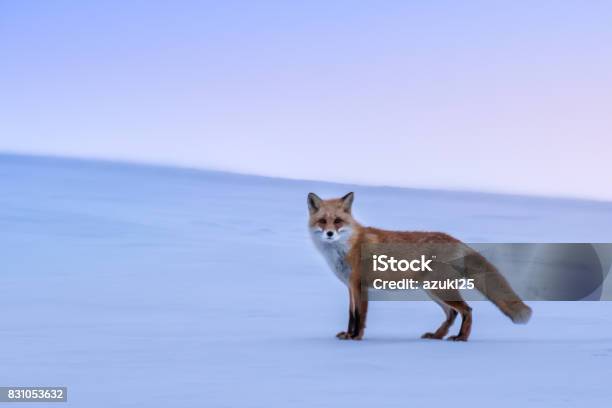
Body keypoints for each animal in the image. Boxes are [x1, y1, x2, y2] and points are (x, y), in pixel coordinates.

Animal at [306, 191, 532, 342]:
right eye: (322, 221)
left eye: (337, 221)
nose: (329, 234)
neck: (344, 248)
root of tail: (454, 239)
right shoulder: (350, 286)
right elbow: (351, 314)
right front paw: (349, 334)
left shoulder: (359, 285)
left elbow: (359, 316)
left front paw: (356, 337)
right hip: (433, 290)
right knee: (452, 313)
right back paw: (437, 335)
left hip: (439, 289)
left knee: (467, 310)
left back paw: (461, 338)